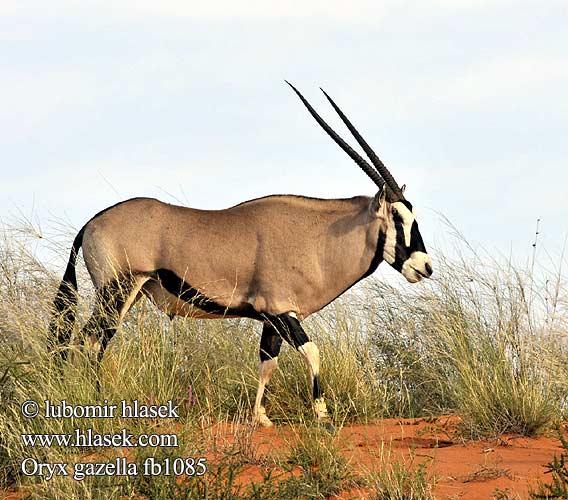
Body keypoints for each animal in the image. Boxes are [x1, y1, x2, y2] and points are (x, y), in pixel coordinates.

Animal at [51, 82, 432, 426]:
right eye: (398, 217)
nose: (425, 266)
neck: (316, 236)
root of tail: (90, 224)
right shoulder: (282, 312)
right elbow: (312, 352)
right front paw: (321, 413)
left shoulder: (271, 320)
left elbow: (267, 362)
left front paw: (259, 418)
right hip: (116, 291)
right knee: (92, 341)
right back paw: (97, 402)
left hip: (128, 293)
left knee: (90, 340)